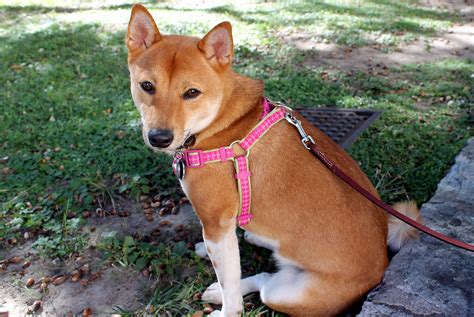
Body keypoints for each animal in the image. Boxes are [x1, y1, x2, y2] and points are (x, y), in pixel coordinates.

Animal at [127, 4, 422, 314]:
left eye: (192, 92)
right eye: (147, 86)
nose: (159, 137)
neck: (223, 123)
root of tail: (383, 263)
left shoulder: (216, 223)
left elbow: (232, 291)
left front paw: (227, 310)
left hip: (287, 294)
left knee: (263, 284)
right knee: (264, 275)